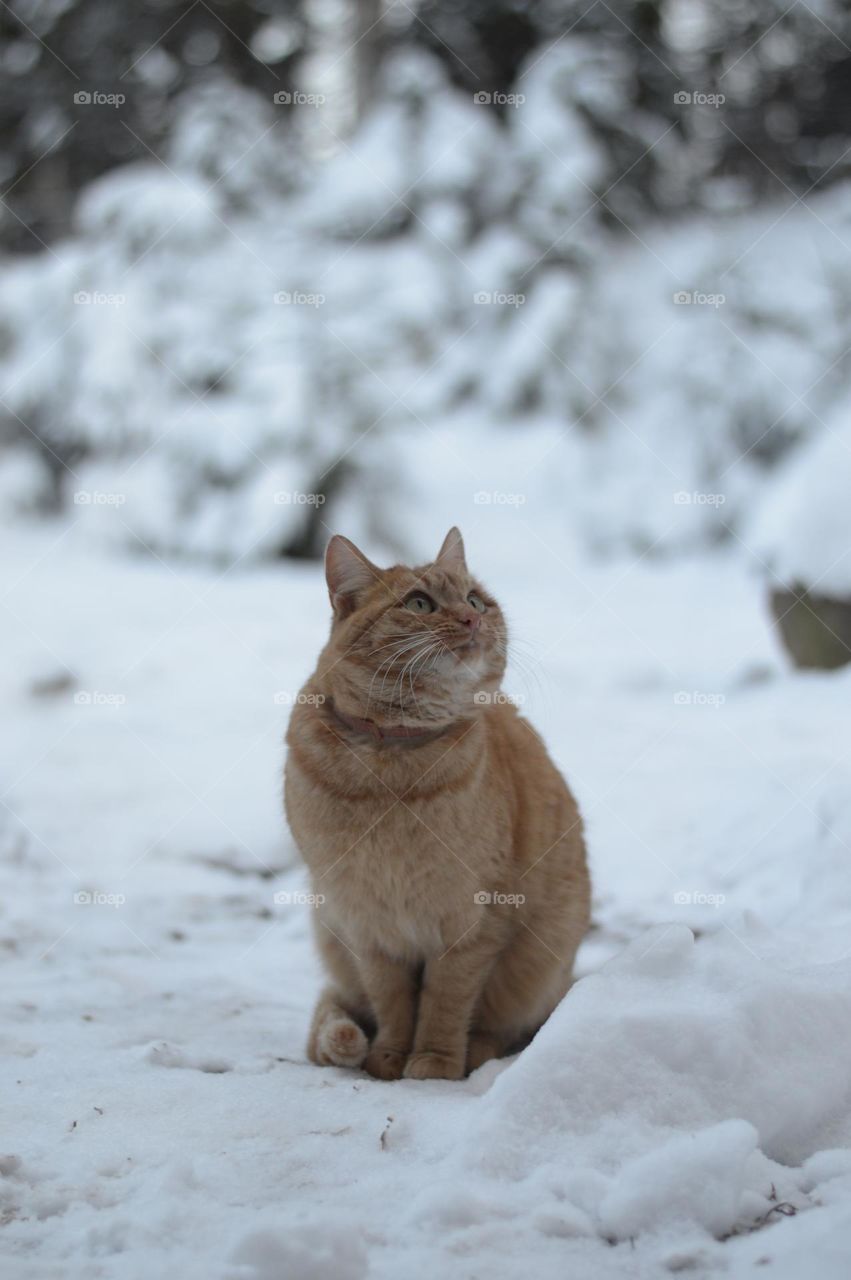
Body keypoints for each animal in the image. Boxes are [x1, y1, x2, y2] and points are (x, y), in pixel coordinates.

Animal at [281, 527, 588, 1080]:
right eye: (420, 603)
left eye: (474, 600)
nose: (470, 619)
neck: (391, 770)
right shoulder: (364, 924)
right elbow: (392, 999)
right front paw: (388, 1058)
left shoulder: (471, 924)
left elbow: (446, 999)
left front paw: (435, 1063)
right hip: (328, 929)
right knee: (337, 1012)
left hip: (543, 961)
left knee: (509, 1028)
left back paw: (475, 1055)